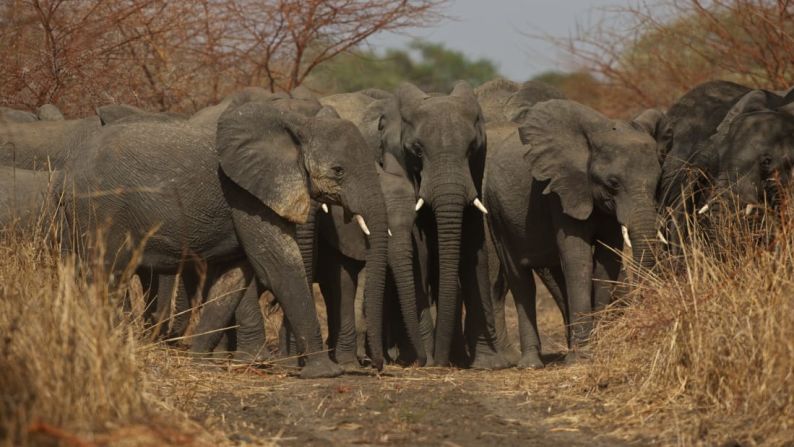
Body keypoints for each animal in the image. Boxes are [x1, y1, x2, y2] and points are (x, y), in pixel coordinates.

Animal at [62, 98, 390, 378]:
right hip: (101, 210)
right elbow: (277, 265)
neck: (297, 126)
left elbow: (234, 277)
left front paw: (201, 364)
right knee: (108, 273)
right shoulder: (244, 196)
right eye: (338, 171)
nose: (375, 365)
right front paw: (324, 372)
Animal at [486, 99, 660, 368]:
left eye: (657, 182)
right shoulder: (561, 190)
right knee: (520, 279)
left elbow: (606, 261)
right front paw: (581, 359)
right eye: (613, 183)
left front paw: (595, 350)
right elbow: (578, 259)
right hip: (496, 211)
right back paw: (531, 363)